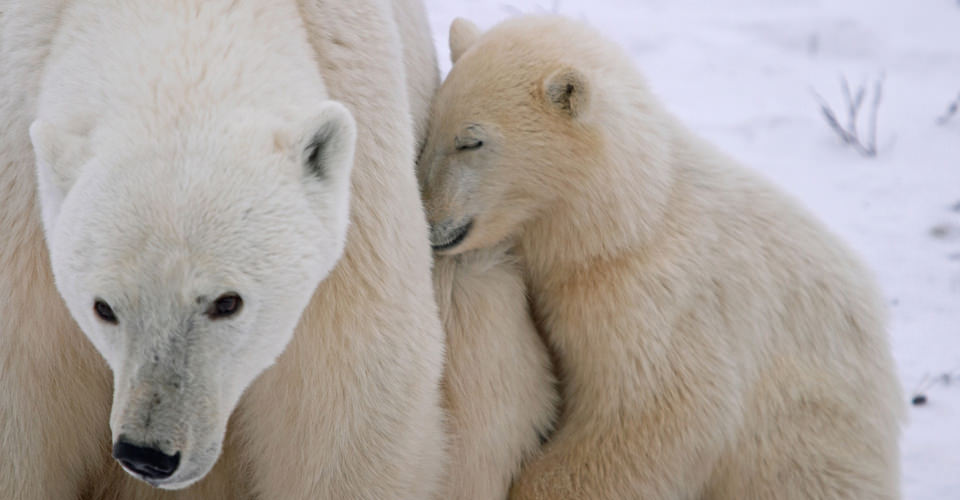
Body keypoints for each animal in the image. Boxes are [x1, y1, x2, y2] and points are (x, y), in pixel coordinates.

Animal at [0, 0, 447, 498]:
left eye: (227, 302)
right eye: (103, 308)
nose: (149, 454)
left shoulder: (363, 188)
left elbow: (350, 398)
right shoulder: (19, 204)